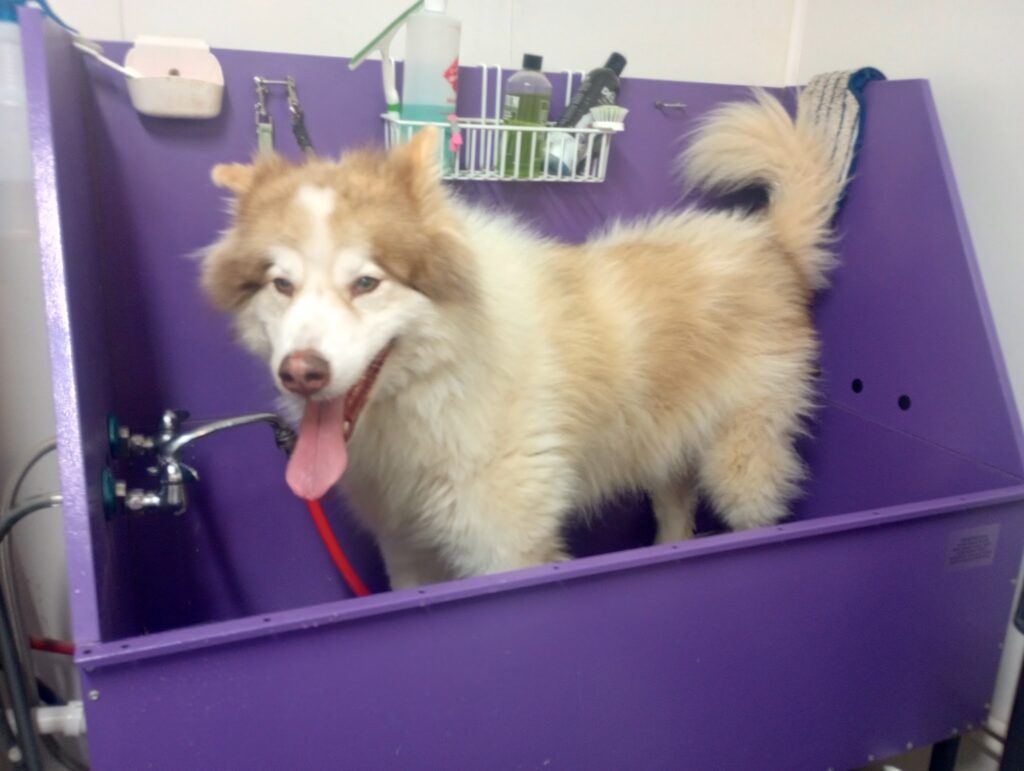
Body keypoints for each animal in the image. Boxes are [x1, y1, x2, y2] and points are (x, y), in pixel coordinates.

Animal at [201, 91, 841, 589]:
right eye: (282, 284)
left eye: (366, 282)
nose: (300, 372)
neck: (436, 388)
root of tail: (769, 243)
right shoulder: (406, 548)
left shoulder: (504, 546)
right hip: (664, 453)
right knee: (676, 519)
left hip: (742, 465)